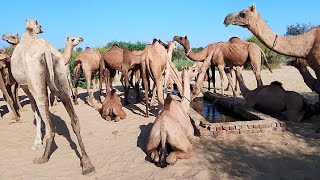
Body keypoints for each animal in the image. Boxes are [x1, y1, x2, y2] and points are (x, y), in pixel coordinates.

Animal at [11, 18, 94, 174]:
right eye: (40, 25)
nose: (80, 38)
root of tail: (47, 50)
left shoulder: (26, 86)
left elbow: (36, 111)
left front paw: (37, 143)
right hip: (59, 71)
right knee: (73, 114)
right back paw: (87, 163)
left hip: (35, 78)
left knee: (47, 117)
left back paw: (43, 157)